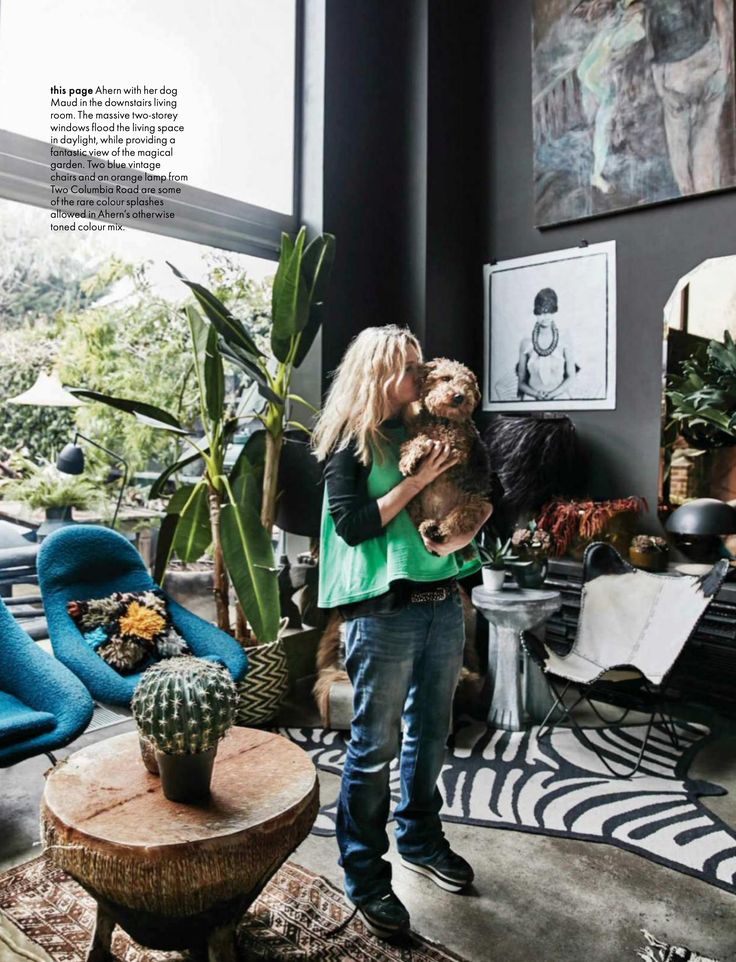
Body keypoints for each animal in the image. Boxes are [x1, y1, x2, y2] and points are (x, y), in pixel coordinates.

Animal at [400, 356, 492, 548]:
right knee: (420, 519)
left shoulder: (455, 447)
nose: (459, 397)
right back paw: (428, 526)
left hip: (473, 504)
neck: (442, 419)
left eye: (468, 384)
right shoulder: (416, 434)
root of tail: (437, 515)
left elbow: (432, 440)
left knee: (454, 524)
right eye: (446, 378)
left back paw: (436, 531)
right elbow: (417, 440)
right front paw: (408, 460)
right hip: (414, 502)